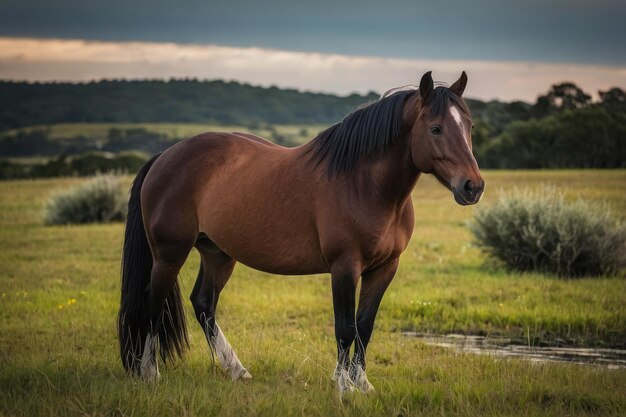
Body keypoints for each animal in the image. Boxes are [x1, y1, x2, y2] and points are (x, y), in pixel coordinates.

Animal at [119, 70, 486, 392]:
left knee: (204, 304)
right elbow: (345, 327)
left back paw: (236, 369)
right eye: (436, 128)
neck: (364, 184)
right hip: (170, 253)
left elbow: (365, 326)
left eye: (468, 125)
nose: (473, 187)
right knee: (152, 303)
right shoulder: (345, 267)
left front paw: (363, 384)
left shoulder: (384, 268)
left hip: (217, 253)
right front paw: (343, 386)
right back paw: (150, 373)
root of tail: (165, 155)